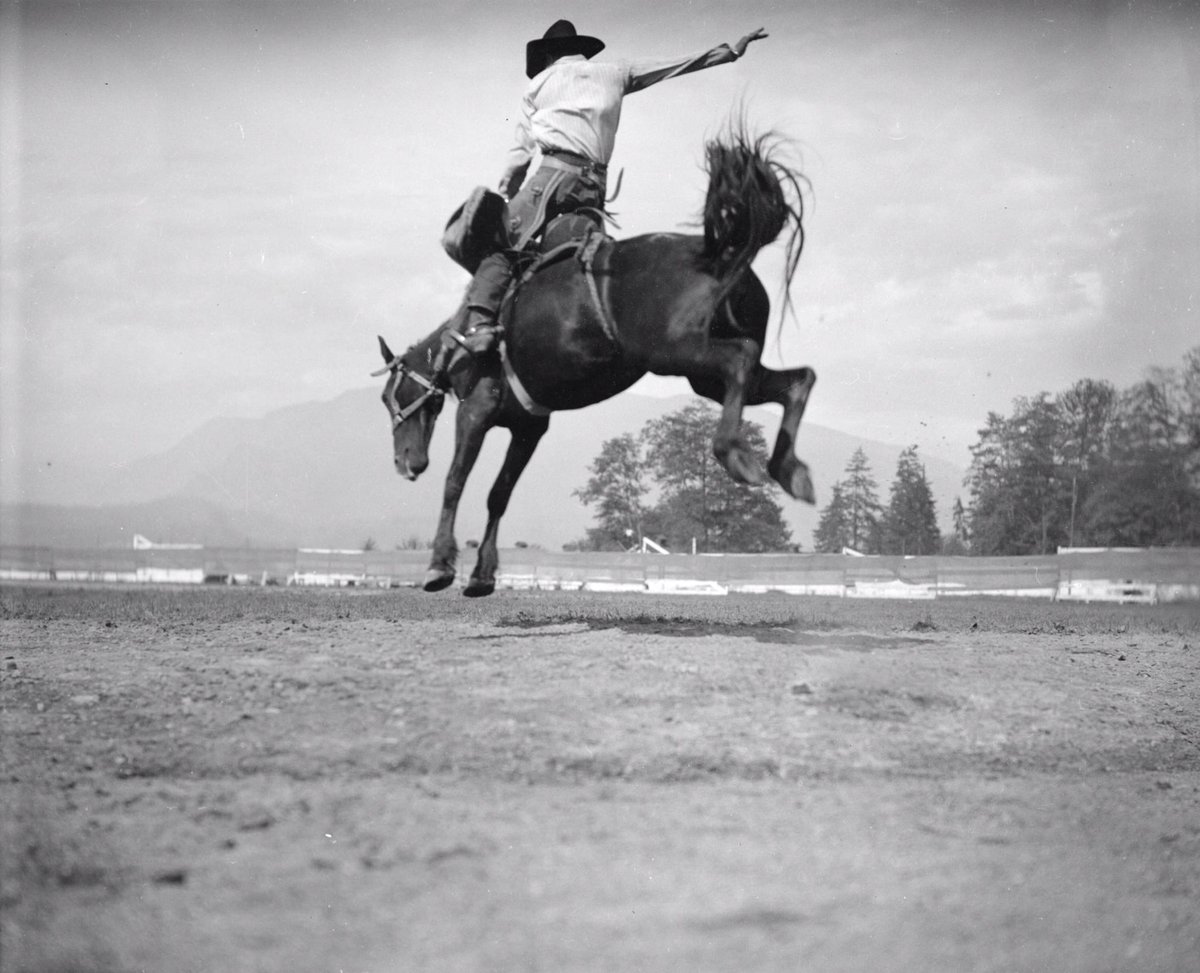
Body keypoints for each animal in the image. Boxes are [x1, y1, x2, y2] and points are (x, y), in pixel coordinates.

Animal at [375, 128, 817, 597]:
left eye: (389, 396)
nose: (405, 463)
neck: (458, 342)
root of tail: (722, 251)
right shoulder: (529, 427)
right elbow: (499, 495)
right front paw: (481, 575)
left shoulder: (476, 411)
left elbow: (454, 482)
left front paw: (439, 566)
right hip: (705, 377)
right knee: (795, 379)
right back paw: (790, 470)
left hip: (678, 352)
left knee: (741, 360)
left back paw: (735, 455)